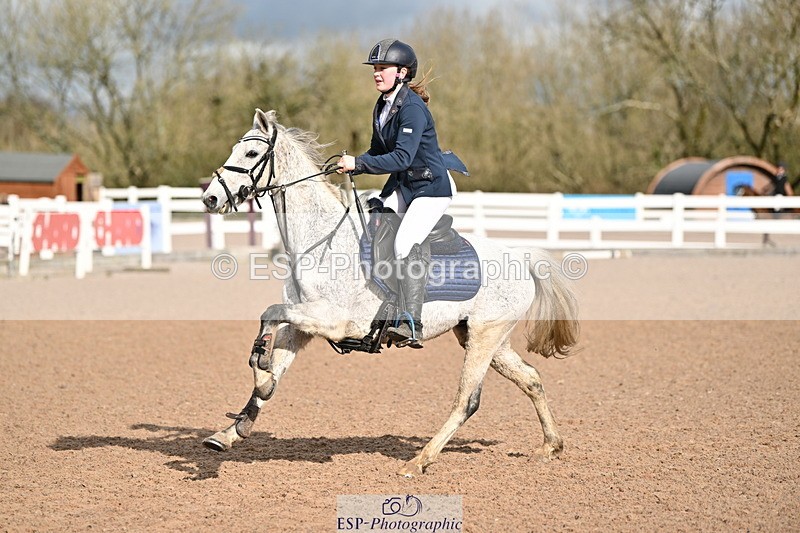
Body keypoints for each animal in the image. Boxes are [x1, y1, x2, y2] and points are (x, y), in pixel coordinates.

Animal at [200, 109, 580, 477]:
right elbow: (273, 359)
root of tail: (520, 255)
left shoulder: (333, 320)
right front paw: (233, 428)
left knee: (467, 401)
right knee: (530, 379)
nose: (210, 197)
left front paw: (259, 375)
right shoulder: (302, 323)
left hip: (486, 337)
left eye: (251, 153)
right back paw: (551, 446)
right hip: (483, 337)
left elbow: (268, 314)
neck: (320, 240)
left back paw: (419, 461)